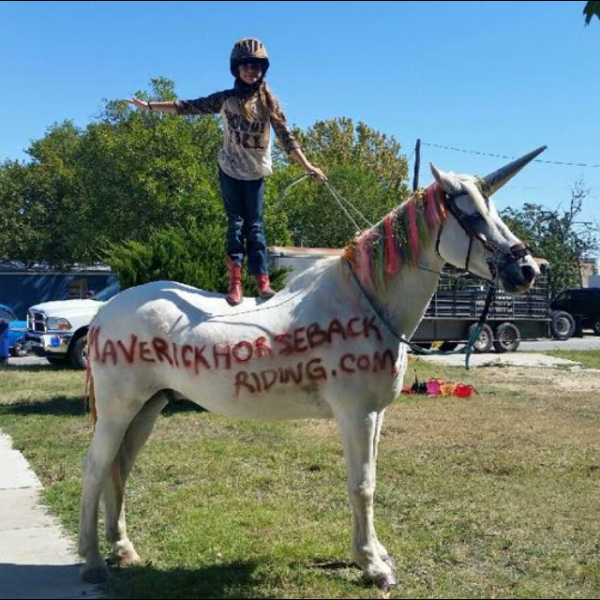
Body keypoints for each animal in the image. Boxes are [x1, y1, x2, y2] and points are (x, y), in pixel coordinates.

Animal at [78, 148, 544, 588]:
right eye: (472, 215)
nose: (527, 269)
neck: (365, 302)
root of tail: (104, 312)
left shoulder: (376, 416)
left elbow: (369, 481)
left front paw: (375, 553)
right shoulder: (356, 415)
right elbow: (362, 487)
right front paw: (372, 565)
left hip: (149, 408)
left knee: (119, 468)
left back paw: (122, 549)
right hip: (120, 409)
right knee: (96, 467)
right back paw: (93, 561)